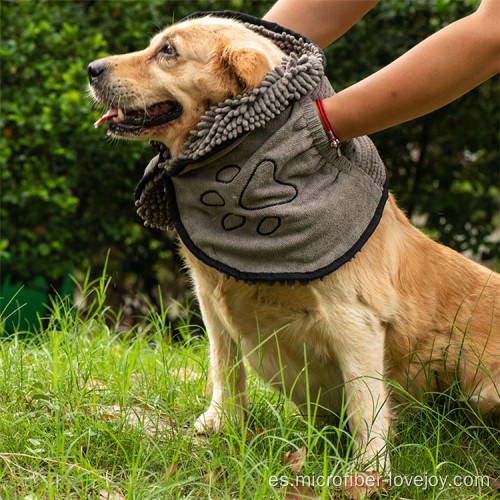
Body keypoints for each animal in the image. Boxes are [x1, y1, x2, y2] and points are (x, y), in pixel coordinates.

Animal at [88, 14, 498, 468]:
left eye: (168, 51)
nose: (91, 69)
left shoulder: (356, 321)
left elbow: (366, 405)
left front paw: (369, 470)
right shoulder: (210, 302)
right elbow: (224, 367)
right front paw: (222, 423)